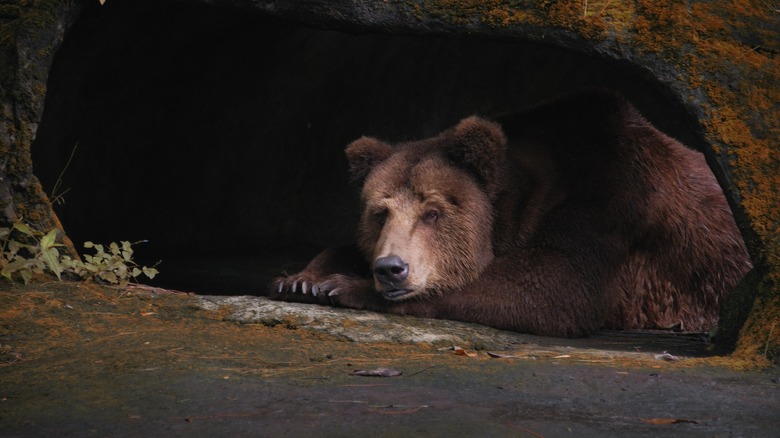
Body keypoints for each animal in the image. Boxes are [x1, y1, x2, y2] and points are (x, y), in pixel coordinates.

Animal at [268, 88, 748, 336]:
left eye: (432, 212)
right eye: (379, 213)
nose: (391, 269)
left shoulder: (610, 205)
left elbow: (549, 288)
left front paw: (342, 285)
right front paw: (301, 278)